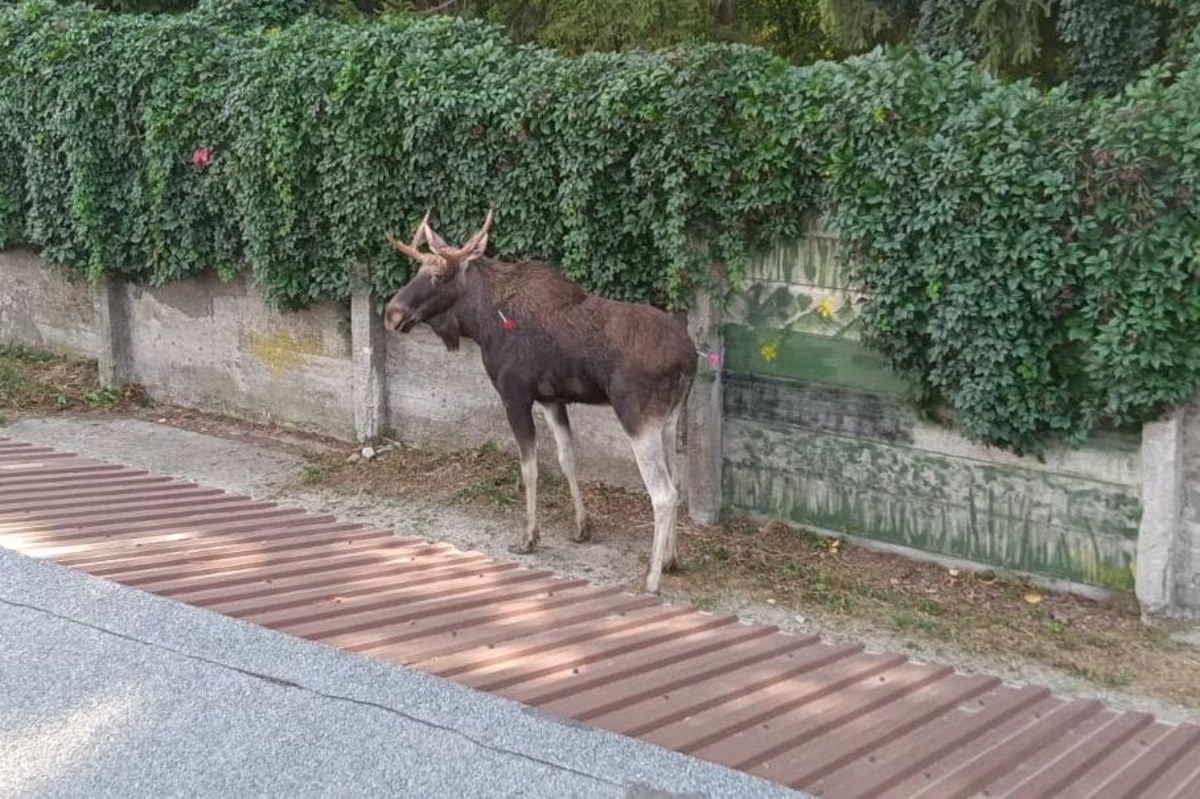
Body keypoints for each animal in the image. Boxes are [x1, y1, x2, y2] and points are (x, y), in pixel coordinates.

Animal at [384, 208, 700, 595]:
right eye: (417, 272)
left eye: (439, 276)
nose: (392, 313)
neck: (482, 323)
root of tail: (690, 358)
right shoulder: (552, 399)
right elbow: (567, 458)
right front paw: (581, 527)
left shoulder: (515, 394)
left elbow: (530, 467)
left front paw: (530, 537)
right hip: (668, 419)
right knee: (677, 485)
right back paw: (671, 560)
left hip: (637, 418)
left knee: (663, 493)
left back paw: (652, 578)